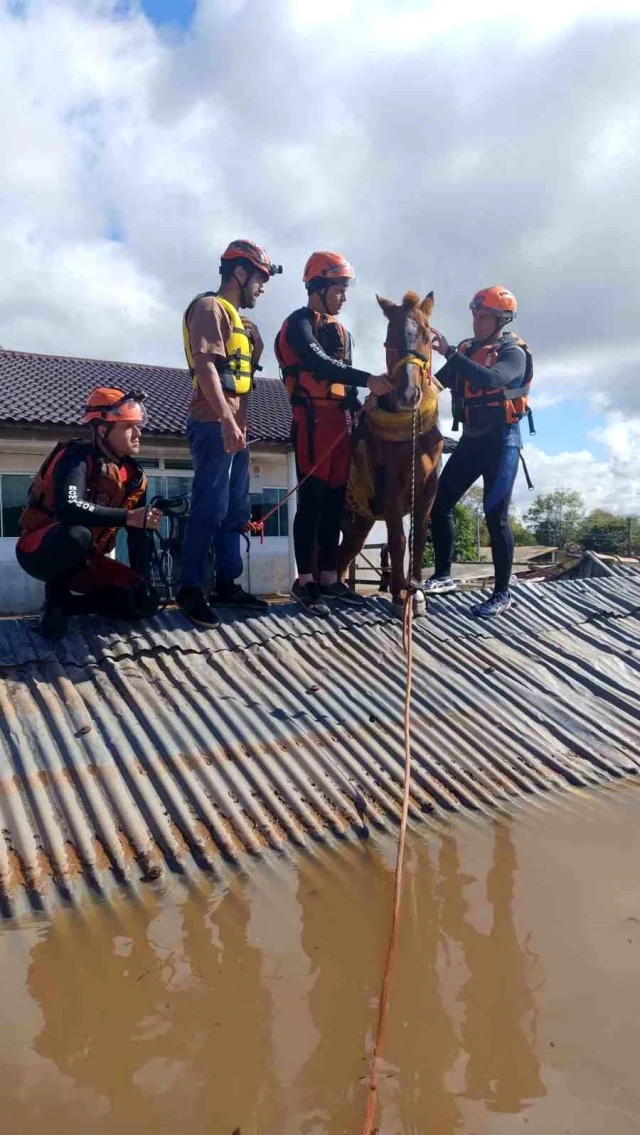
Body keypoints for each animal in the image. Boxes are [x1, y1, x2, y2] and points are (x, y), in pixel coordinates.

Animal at [340, 288, 444, 617]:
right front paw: (400, 594)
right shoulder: (390, 493)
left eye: (427, 335)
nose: (408, 395)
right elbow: (397, 538)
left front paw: (417, 592)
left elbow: (419, 538)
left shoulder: (427, 491)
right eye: (389, 338)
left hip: (360, 522)